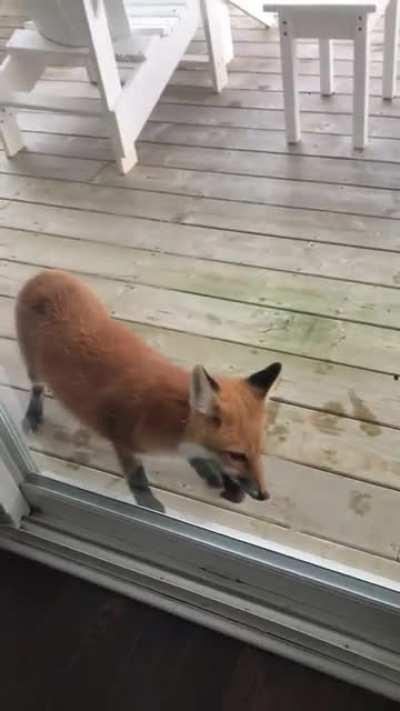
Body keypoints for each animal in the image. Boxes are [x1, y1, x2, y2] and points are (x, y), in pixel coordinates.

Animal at [16, 270, 282, 513]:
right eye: (236, 455)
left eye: (259, 451)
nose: (265, 495)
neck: (170, 418)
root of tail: (45, 274)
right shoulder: (122, 439)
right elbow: (137, 478)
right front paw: (148, 504)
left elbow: (195, 456)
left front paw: (207, 470)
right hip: (33, 366)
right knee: (37, 387)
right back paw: (33, 414)